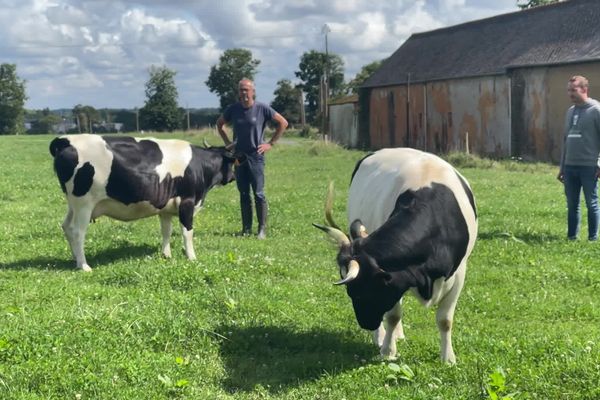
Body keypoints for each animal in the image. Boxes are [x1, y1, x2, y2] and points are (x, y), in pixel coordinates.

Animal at [49, 134, 241, 272]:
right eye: (232, 163)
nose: (233, 177)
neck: (199, 165)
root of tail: (66, 140)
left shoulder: (166, 207)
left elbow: (166, 231)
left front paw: (166, 255)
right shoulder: (187, 201)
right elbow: (187, 233)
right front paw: (191, 257)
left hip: (74, 205)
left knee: (66, 227)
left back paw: (75, 259)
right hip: (84, 203)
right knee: (77, 231)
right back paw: (84, 265)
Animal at [314, 147, 478, 362]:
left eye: (359, 292)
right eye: (350, 292)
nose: (366, 324)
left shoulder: (459, 274)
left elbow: (445, 320)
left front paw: (448, 358)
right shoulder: (395, 279)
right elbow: (393, 316)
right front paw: (387, 350)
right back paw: (383, 336)